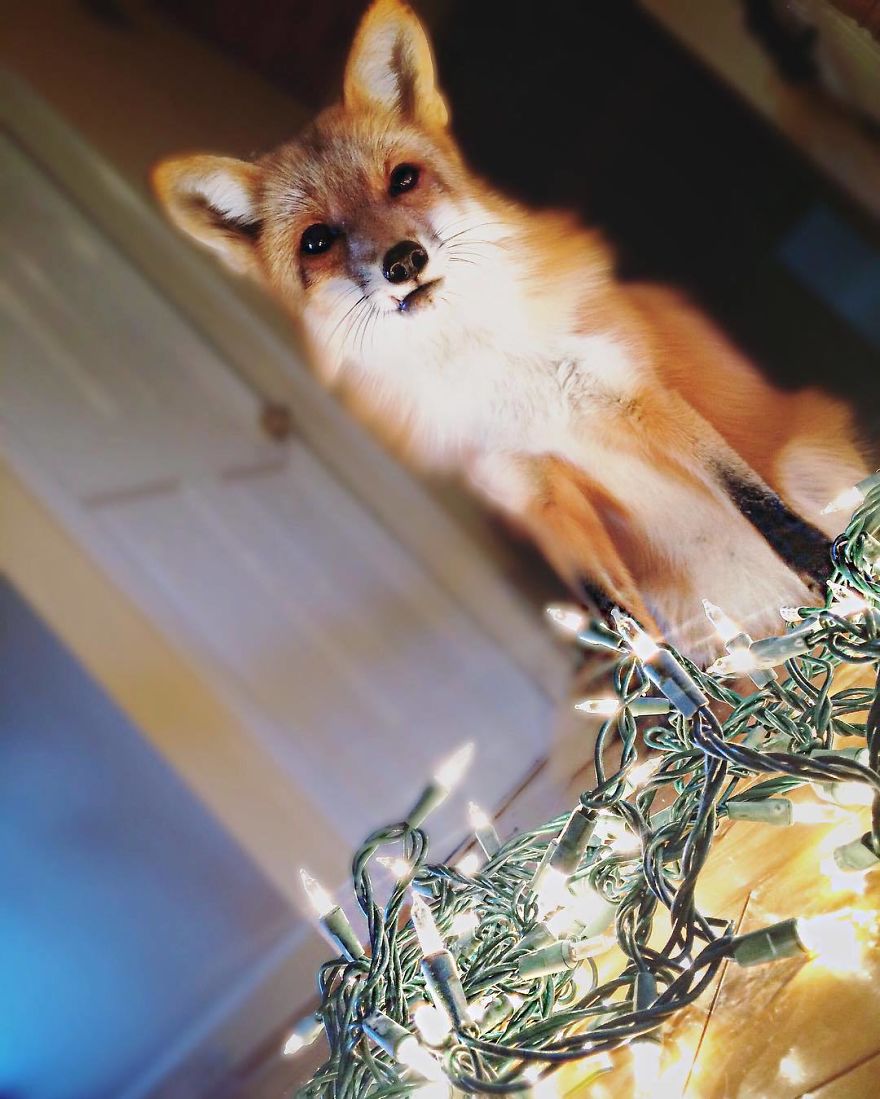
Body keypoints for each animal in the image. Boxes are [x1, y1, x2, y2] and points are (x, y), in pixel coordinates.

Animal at [153, 0, 869, 660]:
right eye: (317, 241)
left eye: (403, 179)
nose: (403, 262)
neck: (493, 368)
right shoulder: (531, 489)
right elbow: (621, 623)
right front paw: (657, 695)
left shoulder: (637, 396)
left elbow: (757, 503)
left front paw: (824, 569)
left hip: (813, 462)